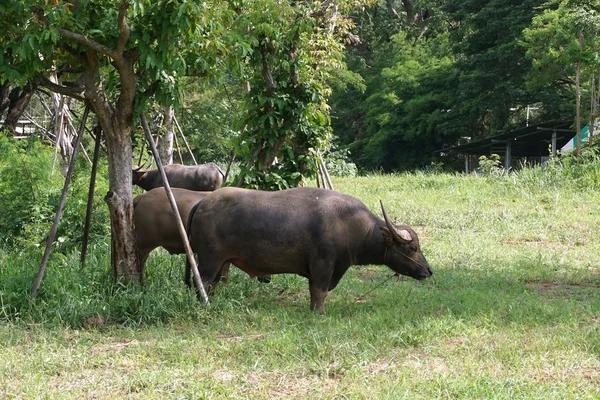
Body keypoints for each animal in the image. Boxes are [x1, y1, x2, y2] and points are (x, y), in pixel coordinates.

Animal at [188, 187, 432, 312]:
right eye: (412, 247)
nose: (428, 271)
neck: (348, 225)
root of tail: (201, 203)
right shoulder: (323, 265)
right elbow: (319, 291)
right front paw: (319, 313)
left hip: (220, 262)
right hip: (210, 260)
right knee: (203, 282)